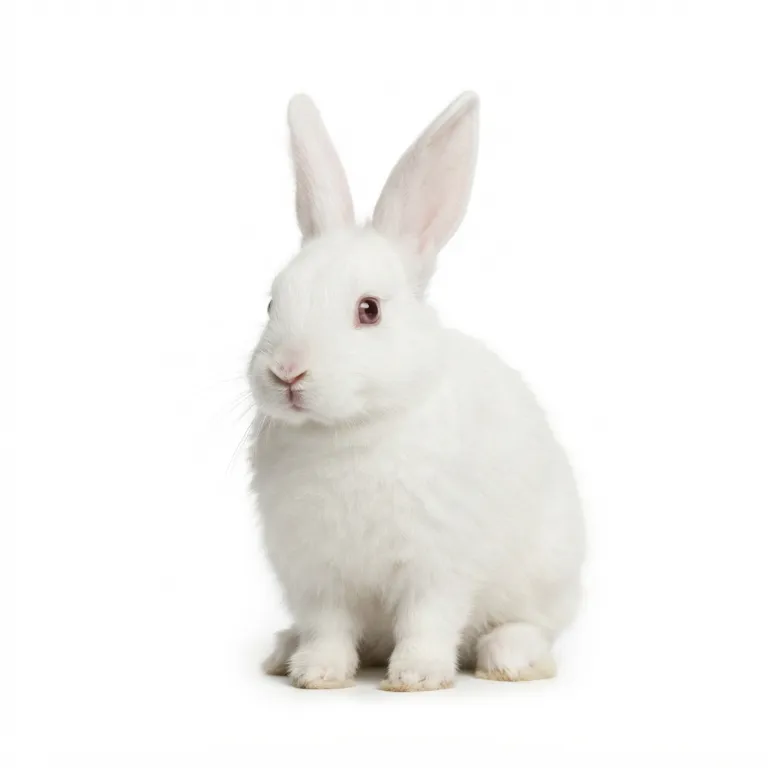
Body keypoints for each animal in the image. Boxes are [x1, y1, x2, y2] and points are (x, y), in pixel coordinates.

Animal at [248, 92, 585, 692]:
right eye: (270, 304)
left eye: (369, 310)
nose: (287, 372)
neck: (347, 431)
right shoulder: (318, 575)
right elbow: (327, 628)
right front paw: (317, 673)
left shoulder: (437, 563)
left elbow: (428, 620)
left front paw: (417, 677)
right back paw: (282, 651)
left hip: (547, 571)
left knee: (531, 626)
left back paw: (509, 659)